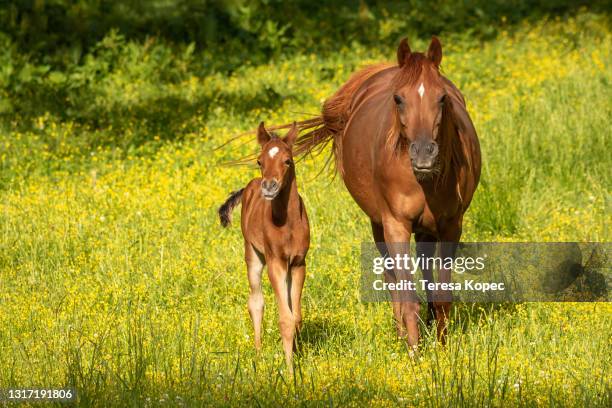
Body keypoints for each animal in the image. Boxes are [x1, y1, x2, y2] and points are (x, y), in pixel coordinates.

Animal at [218, 121, 308, 370]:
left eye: (288, 160)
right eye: (259, 161)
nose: (269, 187)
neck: (288, 224)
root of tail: (251, 184)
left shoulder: (298, 263)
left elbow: (295, 316)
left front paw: (296, 356)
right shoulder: (275, 262)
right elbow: (284, 318)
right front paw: (290, 371)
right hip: (253, 254)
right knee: (256, 301)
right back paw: (258, 355)